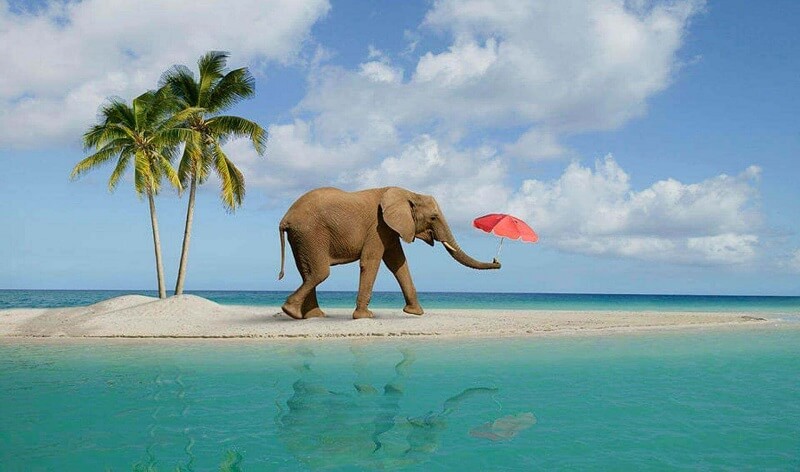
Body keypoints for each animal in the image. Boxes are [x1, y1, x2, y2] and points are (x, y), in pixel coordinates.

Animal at [277, 186, 501, 320]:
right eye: (433, 217)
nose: (497, 262)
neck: (408, 193)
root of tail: (285, 218)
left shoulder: (390, 229)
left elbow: (398, 263)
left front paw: (415, 313)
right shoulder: (378, 227)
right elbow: (371, 261)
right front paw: (365, 317)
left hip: (301, 237)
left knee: (307, 272)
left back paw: (312, 315)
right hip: (311, 233)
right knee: (320, 272)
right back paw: (291, 312)